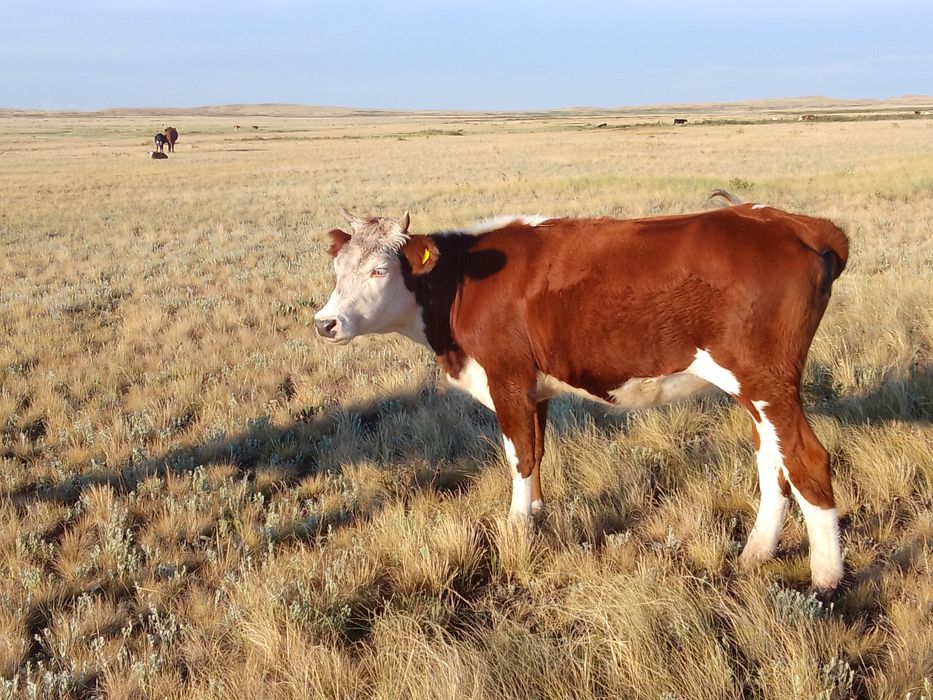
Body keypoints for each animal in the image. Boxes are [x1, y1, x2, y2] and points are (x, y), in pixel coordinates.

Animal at [313, 197, 849, 593]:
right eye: (338, 270)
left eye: (380, 270)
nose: (325, 323)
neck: (464, 281)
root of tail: (790, 221)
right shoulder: (535, 389)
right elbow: (537, 451)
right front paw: (536, 515)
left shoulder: (507, 378)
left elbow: (519, 456)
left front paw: (516, 530)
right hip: (754, 391)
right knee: (772, 460)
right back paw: (756, 552)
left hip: (767, 382)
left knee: (806, 459)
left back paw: (826, 578)